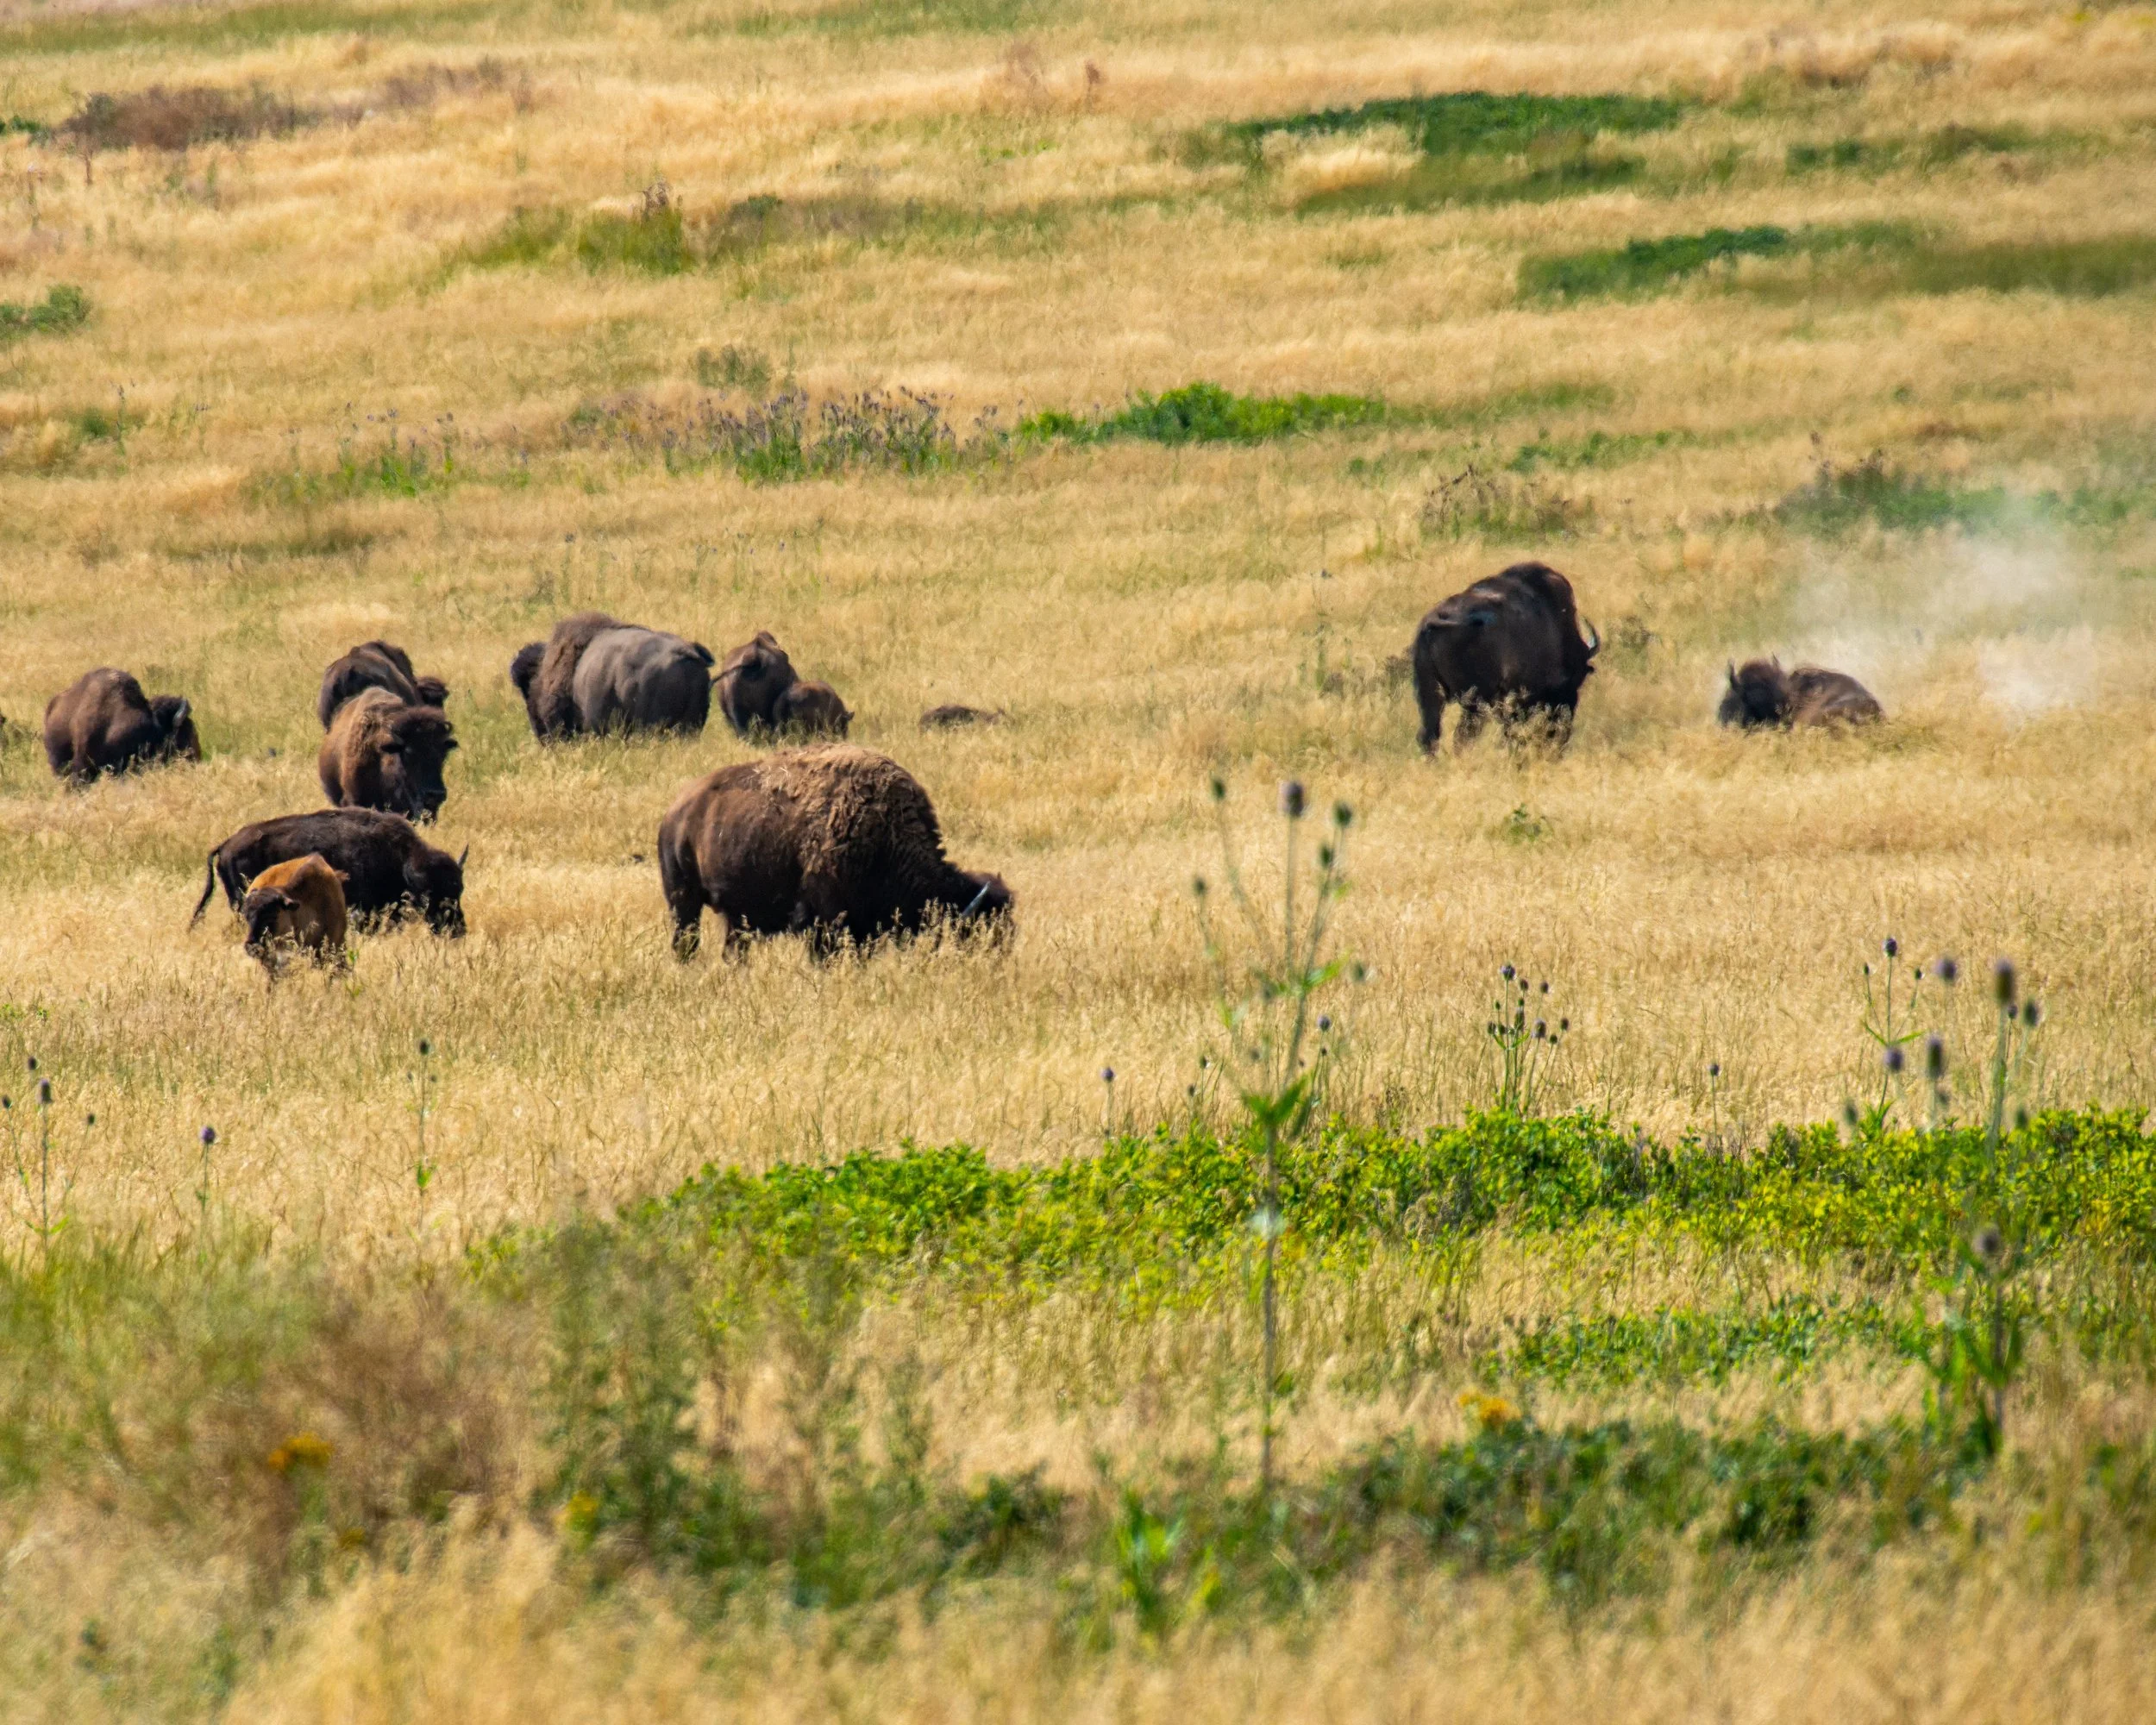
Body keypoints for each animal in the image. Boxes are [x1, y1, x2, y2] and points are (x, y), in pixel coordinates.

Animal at [658, 744, 1012, 958]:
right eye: (977, 934)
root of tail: (675, 812)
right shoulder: (824, 921)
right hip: (683, 901)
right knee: (686, 942)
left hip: (736, 916)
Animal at [1410, 562, 1600, 752]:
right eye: (1576, 678)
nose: (1563, 733)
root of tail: (1434, 622)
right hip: (1475, 702)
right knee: (1463, 736)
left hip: (1432, 695)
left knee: (1431, 736)